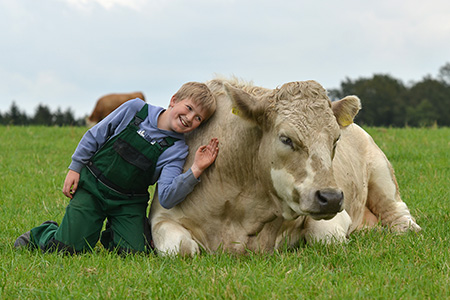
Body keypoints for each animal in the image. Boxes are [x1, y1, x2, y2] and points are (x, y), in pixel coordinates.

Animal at [149, 78, 420, 255]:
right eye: (286, 139)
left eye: (335, 140)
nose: (330, 197)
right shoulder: (162, 217)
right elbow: (181, 248)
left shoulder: (336, 215)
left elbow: (325, 237)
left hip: (381, 174)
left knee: (397, 213)